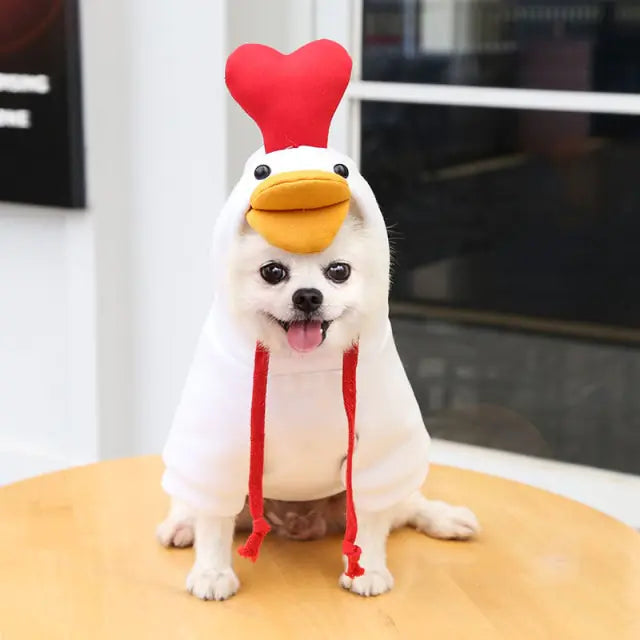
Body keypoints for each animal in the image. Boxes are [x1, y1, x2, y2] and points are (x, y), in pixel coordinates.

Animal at [156, 145, 480, 600]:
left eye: (338, 271)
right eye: (272, 272)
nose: (307, 295)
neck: (303, 366)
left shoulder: (372, 452)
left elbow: (372, 521)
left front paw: (367, 568)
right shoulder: (220, 449)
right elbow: (213, 524)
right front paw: (213, 572)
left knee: (408, 505)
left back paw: (445, 519)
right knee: (195, 503)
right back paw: (180, 525)